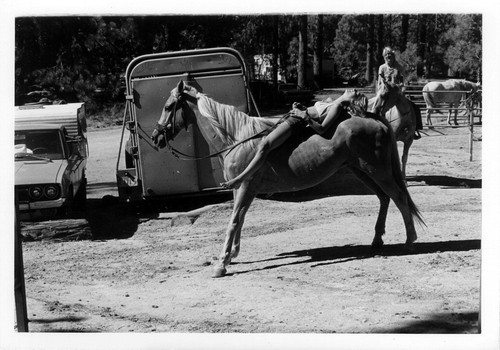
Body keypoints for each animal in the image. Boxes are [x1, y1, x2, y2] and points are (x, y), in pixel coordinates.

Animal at [153, 80, 426, 278]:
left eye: (167, 107)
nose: (156, 137)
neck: (237, 138)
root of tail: (376, 119)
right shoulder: (242, 189)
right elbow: (238, 219)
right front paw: (232, 254)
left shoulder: (245, 186)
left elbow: (233, 221)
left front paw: (221, 263)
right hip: (362, 170)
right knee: (384, 198)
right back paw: (377, 239)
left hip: (377, 170)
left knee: (399, 197)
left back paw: (410, 241)